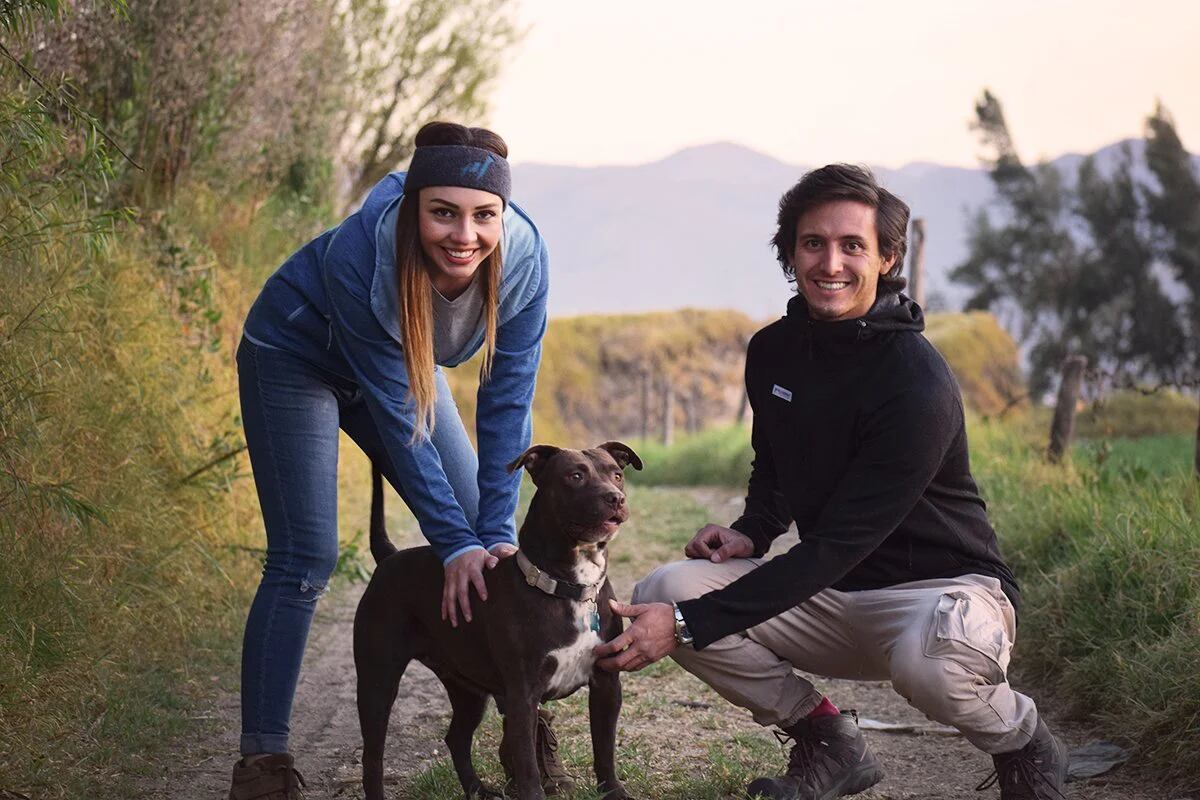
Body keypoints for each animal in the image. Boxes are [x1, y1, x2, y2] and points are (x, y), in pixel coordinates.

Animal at [354, 441, 642, 800]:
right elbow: (527, 766)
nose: (615, 498)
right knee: (372, 756)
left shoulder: (606, 684)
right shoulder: (523, 695)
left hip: (467, 689)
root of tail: (389, 557)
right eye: (575, 476)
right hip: (377, 681)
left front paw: (614, 791)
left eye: (616, 475)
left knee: (456, 738)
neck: (568, 586)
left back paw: (478, 790)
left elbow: (604, 749)